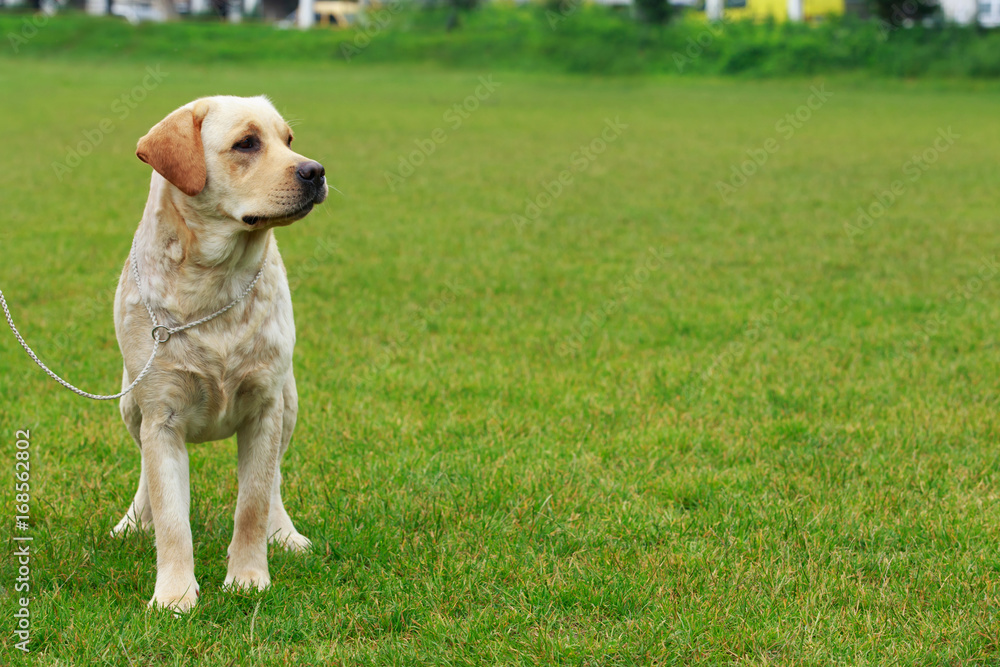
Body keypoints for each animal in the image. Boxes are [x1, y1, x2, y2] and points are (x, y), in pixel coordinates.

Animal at [111, 96, 326, 612]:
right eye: (246, 143)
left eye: (288, 140)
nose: (316, 170)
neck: (215, 282)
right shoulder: (161, 415)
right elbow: (172, 519)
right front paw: (173, 596)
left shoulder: (265, 409)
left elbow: (252, 503)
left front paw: (248, 578)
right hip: (130, 405)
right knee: (145, 475)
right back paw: (133, 523)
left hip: (290, 403)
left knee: (274, 483)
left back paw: (285, 534)